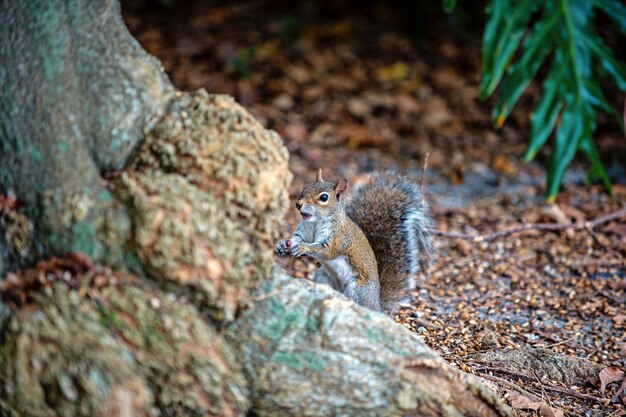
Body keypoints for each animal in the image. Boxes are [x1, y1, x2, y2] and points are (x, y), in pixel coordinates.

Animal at [276, 167, 432, 310]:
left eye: (324, 198)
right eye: (305, 187)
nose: (298, 204)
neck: (315, 222)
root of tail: (377, 304)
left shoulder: (338, 238)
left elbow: (326, 251)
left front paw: (303, 247)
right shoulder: (303, 232)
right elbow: (296, 238)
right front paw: (282, 244)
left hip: (357, 289)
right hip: (323, 277)